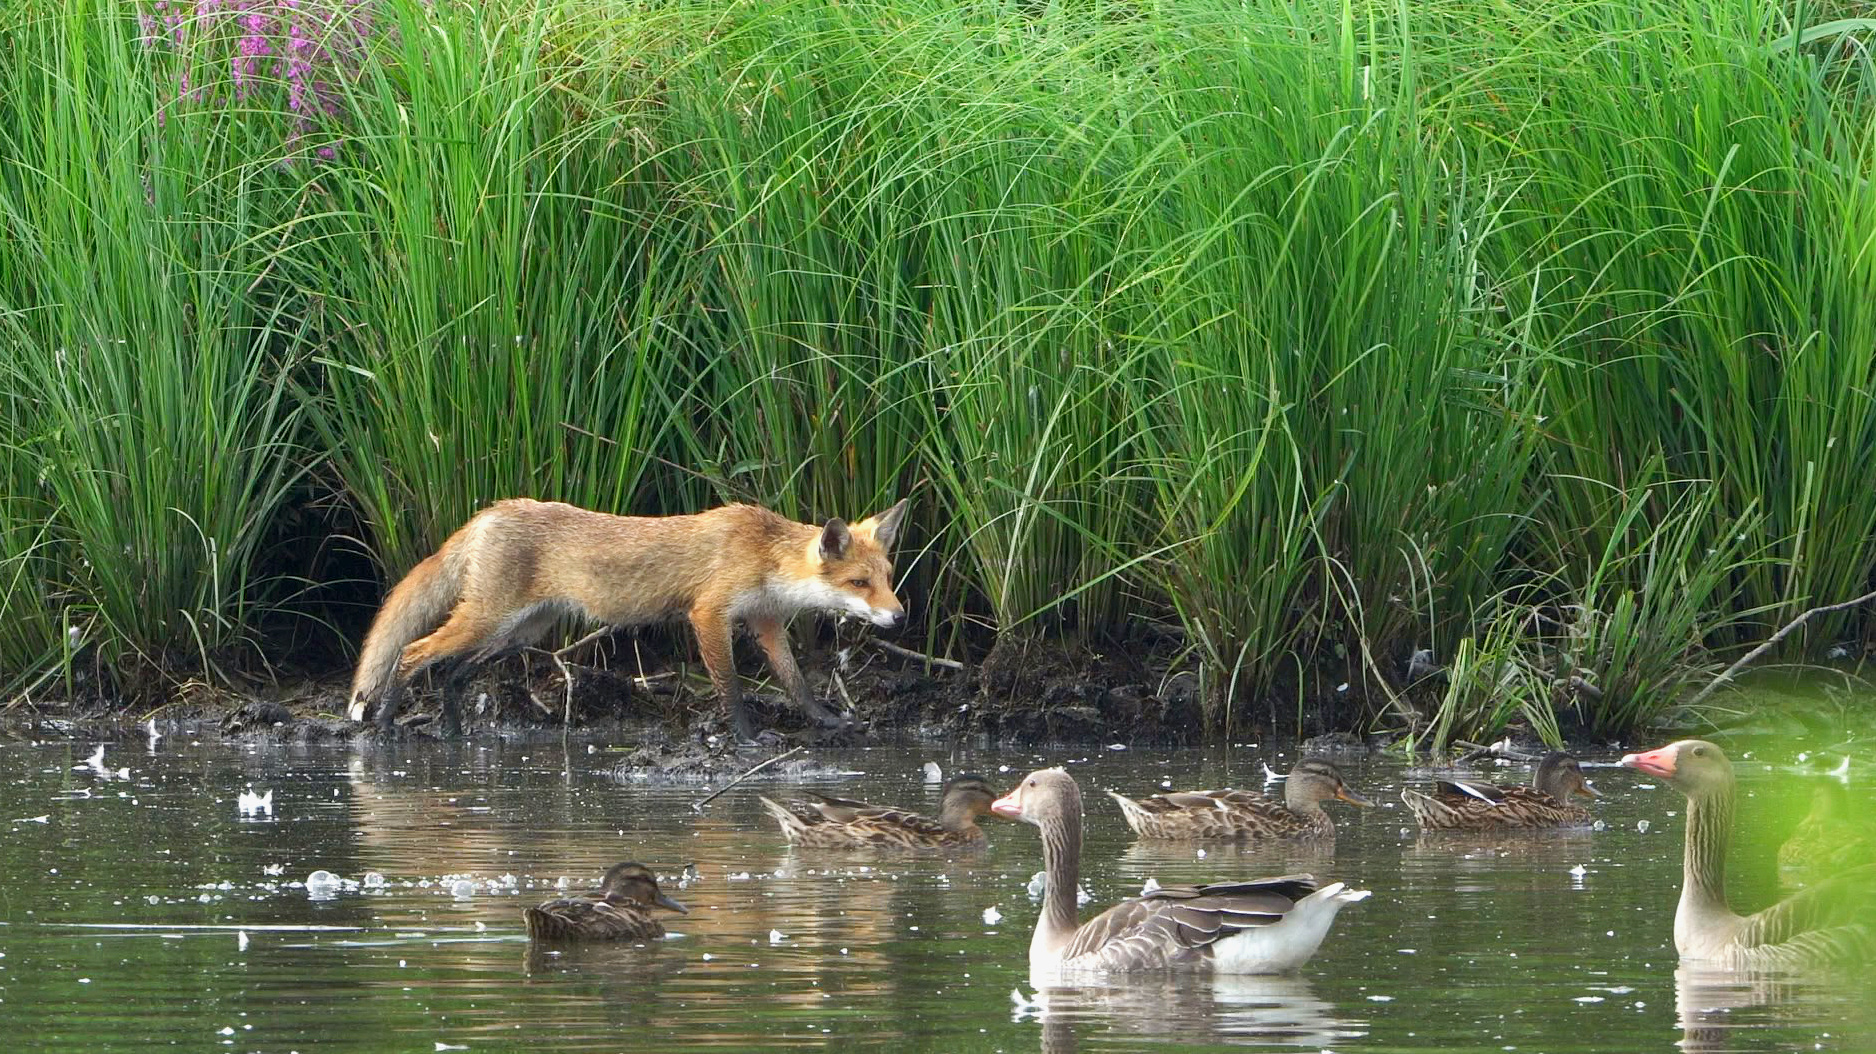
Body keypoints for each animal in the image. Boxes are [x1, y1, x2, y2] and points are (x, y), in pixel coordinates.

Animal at [352, 498, 915, 738]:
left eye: (888, 577)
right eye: (859, 584)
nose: (899, 616)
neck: (763, 554)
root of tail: (490, 511)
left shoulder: (766, 622)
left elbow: (796, 684)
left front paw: (828, 720)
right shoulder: (708, 614)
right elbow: (731, 687)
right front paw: (748, 738)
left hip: (519, 630)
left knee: (453, 673)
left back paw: (451, 730)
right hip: (488, 619)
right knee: (412, 653)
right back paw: (385, 723)